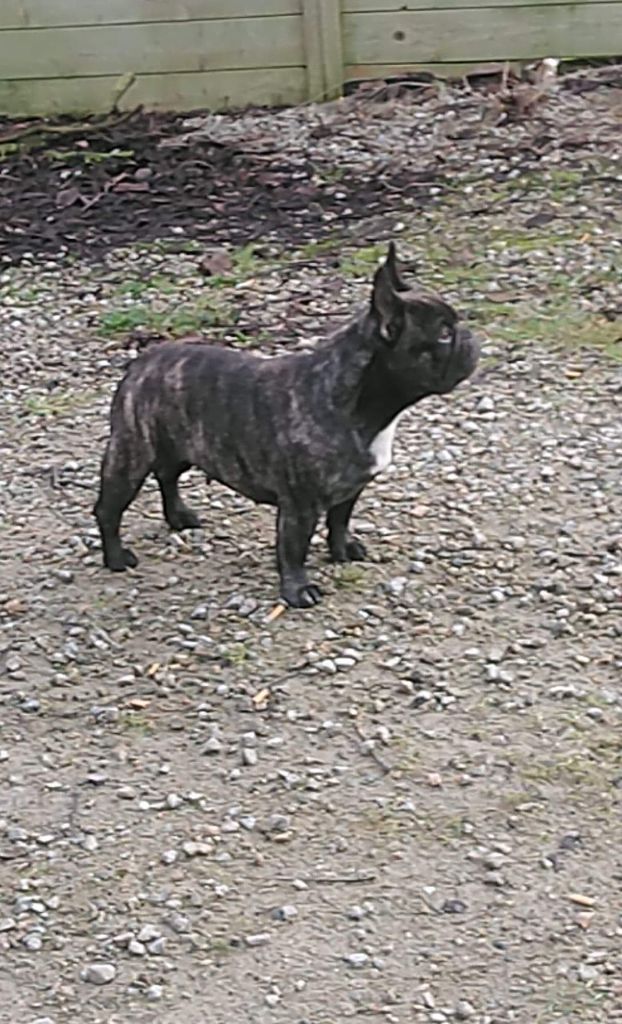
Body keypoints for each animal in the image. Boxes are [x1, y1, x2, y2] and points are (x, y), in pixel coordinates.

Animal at [93, 242, 481, 602]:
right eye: (443, 333)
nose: (470, 335)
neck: (359, 405)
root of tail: (143, 361)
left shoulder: (350, 489)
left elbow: (340, 521)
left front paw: (342, 551)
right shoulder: (300, 504)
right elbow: (295, 548)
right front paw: (298, 590)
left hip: (179, 446)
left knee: (168, 476)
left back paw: (179, 517)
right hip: (131, 455)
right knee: (110, 509)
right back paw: (116, 557)